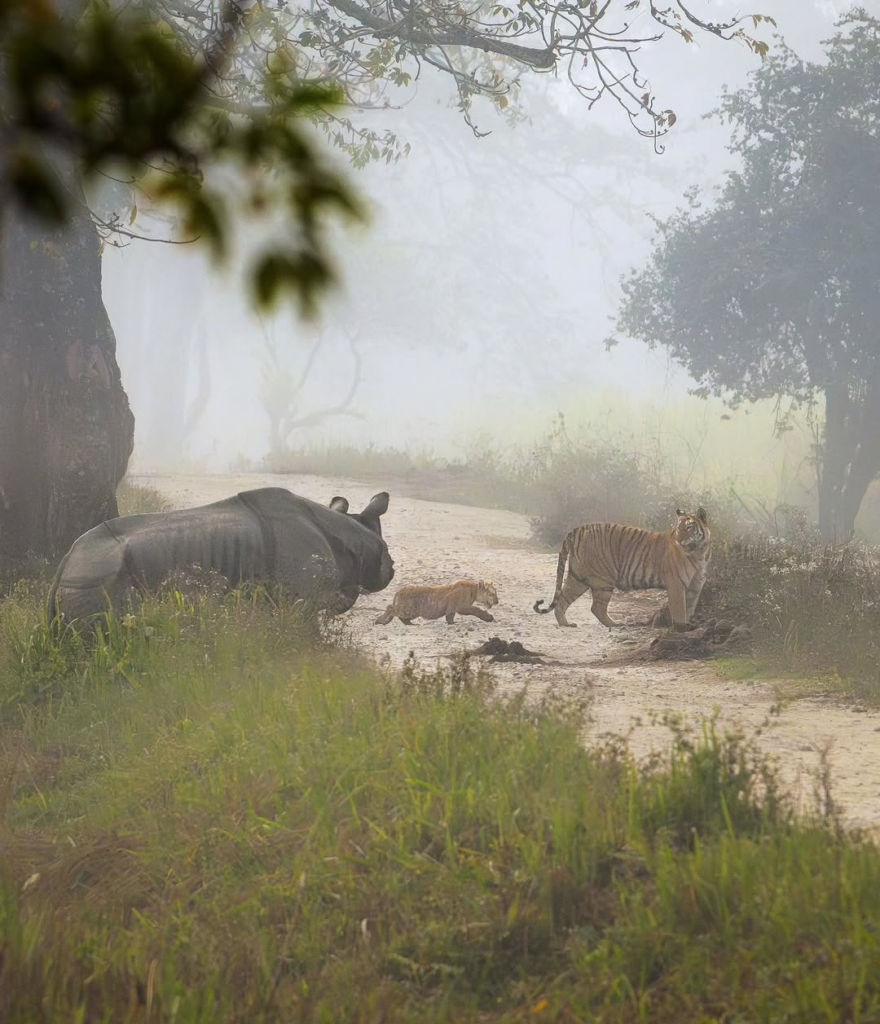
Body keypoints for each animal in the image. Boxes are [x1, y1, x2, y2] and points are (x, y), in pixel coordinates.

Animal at [47, 487, 395, 627]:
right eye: (384, 553)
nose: (392, 571)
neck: (351, 535)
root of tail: (66, 563)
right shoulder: (300, 597)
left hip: (86, 574)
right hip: (99, 575)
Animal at [533, 508, 710, 631]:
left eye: (689, 527)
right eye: (679, 528)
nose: (679, 540)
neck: (699, 553)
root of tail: (579, 529)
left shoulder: (694, 587)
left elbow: (689, 608)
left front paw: (687, 627)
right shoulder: (676, 585)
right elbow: (680, 609)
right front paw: (681, 630)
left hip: (578, 578)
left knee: (562, 600)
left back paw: (566, 624)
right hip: (603, 580)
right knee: (596, 607)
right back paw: (615, 624)